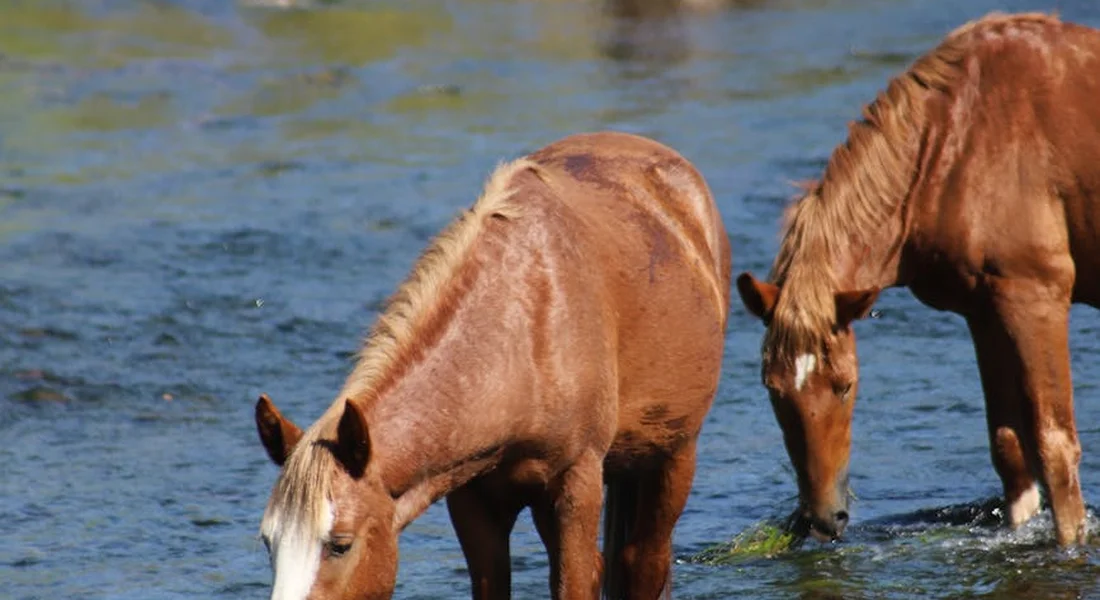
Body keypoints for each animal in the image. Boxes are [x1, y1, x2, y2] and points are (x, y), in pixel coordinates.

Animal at [254, 131, 732, 599]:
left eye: (340, 544)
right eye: (269, 542)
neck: (519, 339)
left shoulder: (577, 484)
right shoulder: (472, 501)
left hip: (674, 456)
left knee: (644, 562)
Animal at [736, 11, 1100, 547]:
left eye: (846, 385)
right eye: (773, 389)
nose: (823, 518)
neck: (955, 142)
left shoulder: (1036, 295)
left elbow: (1055, 447)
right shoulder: (984, 312)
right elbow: (1009, 448)